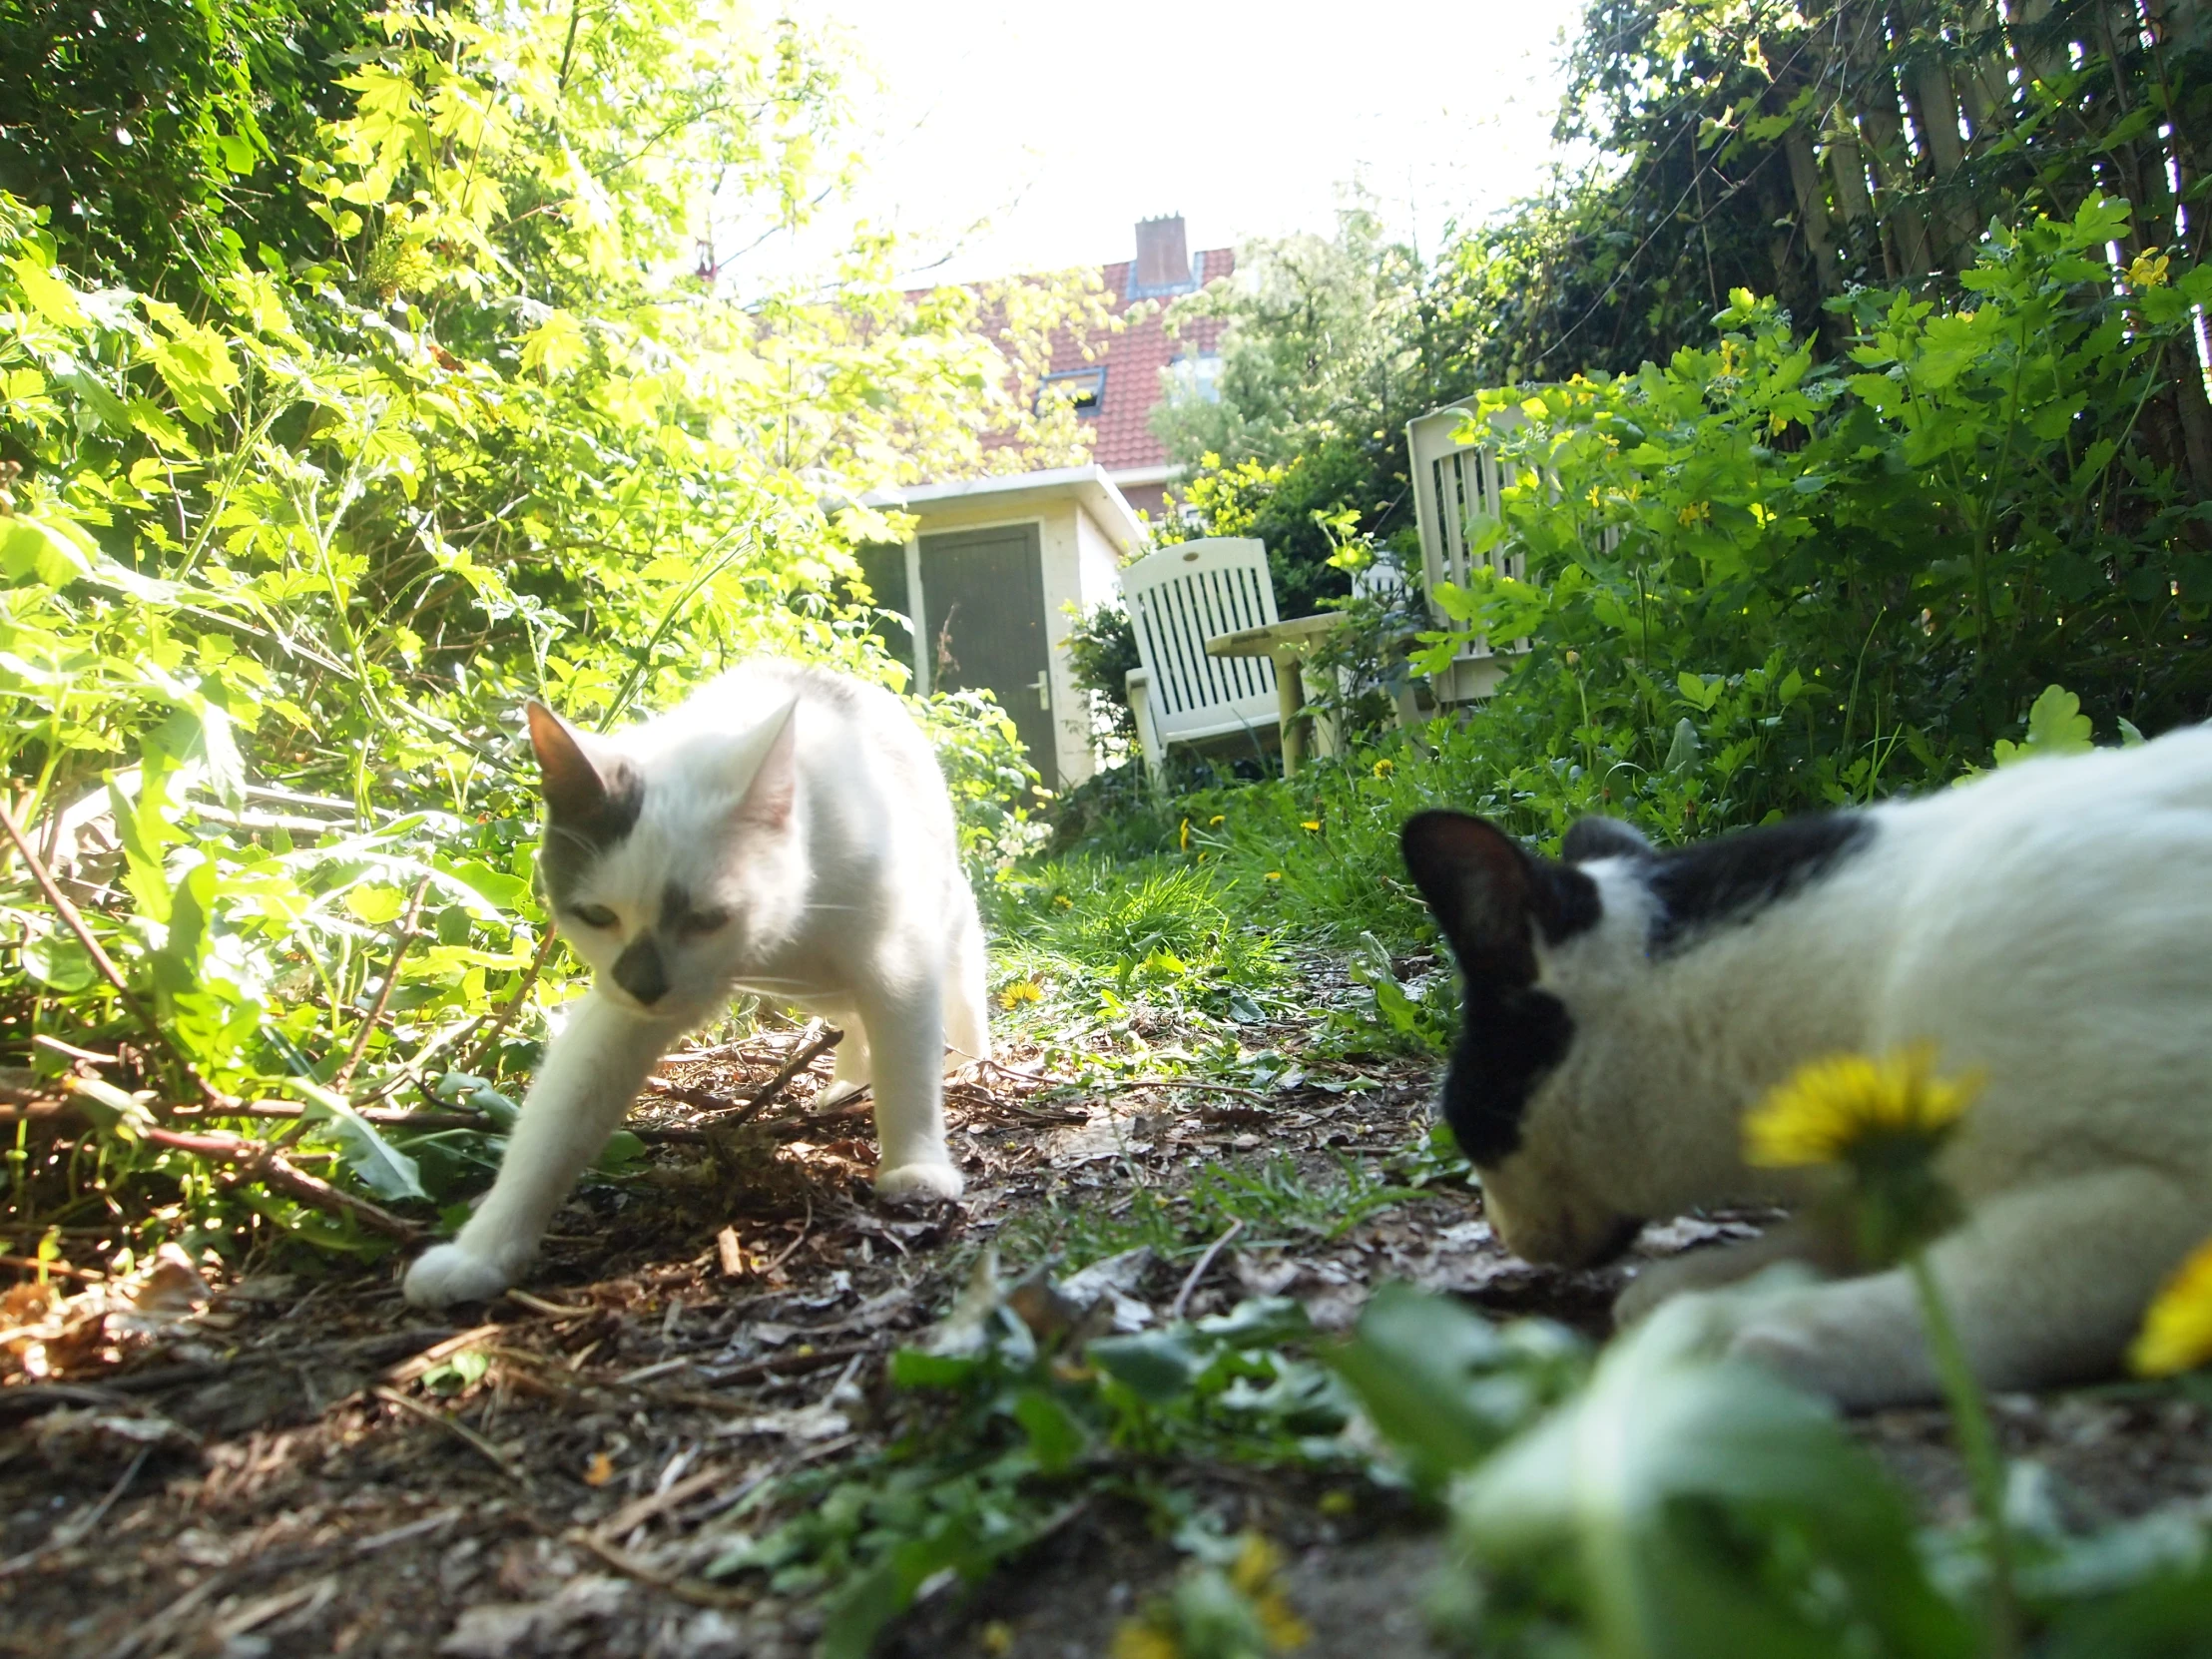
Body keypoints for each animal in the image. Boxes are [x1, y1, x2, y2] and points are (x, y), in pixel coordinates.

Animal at [402, 663, 990, 1309]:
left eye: (706, 919)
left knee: (956, 977)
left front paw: (916, 1167)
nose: (643, 984)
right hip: (820, 990)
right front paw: (479, 1254)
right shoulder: (616, 1013)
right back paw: (847, 1083)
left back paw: (969, 1062)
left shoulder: (899, 960)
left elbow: (907, 1068)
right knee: (853, 1019)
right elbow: (555, 1124)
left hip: (937, 917)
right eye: (597, 916)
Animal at [1397, 725, 2212, 1406]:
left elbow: (1979, 1293)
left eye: (1467, 1122)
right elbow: (1837, 1232)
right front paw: (1702, 1280)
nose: (1493, 1227)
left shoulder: (2163, 1202)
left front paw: (1729, 1329)